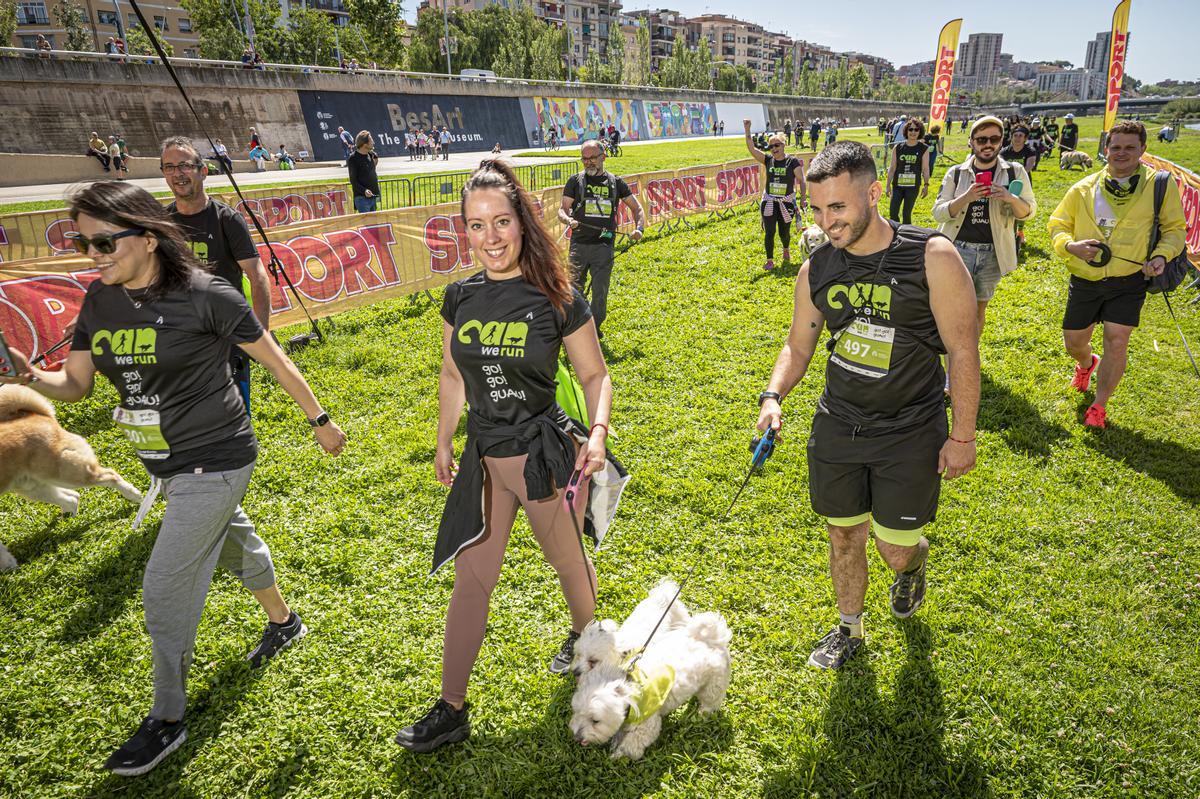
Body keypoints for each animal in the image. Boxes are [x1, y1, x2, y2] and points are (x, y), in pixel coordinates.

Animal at [0, 383, 141, 566]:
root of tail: (38, 415)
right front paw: (8, 563)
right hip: (32, 486)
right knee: (71, 498)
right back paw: (69, 522)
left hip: (64, 471)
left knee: (109, 475)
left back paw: (133, 494)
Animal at [568, 607, 729, 758]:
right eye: (577, 712)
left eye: (595, 721)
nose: (577, 737)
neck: (628, 688)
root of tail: (712, 639)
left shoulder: (647, 722)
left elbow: (632, 743)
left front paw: (619, 754)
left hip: (713, 685)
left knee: (711, 701)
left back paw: (702, 714)